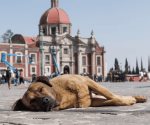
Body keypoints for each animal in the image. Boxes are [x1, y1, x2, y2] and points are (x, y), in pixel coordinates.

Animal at [12, 74, 147, 111]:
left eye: (40, 89)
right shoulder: (92, 102)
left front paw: (130, 99)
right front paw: (129, 100)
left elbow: (113, 96)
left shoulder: (88, 81)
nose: (45, 101)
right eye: (32, 101)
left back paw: (138, 97)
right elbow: (112, 100)